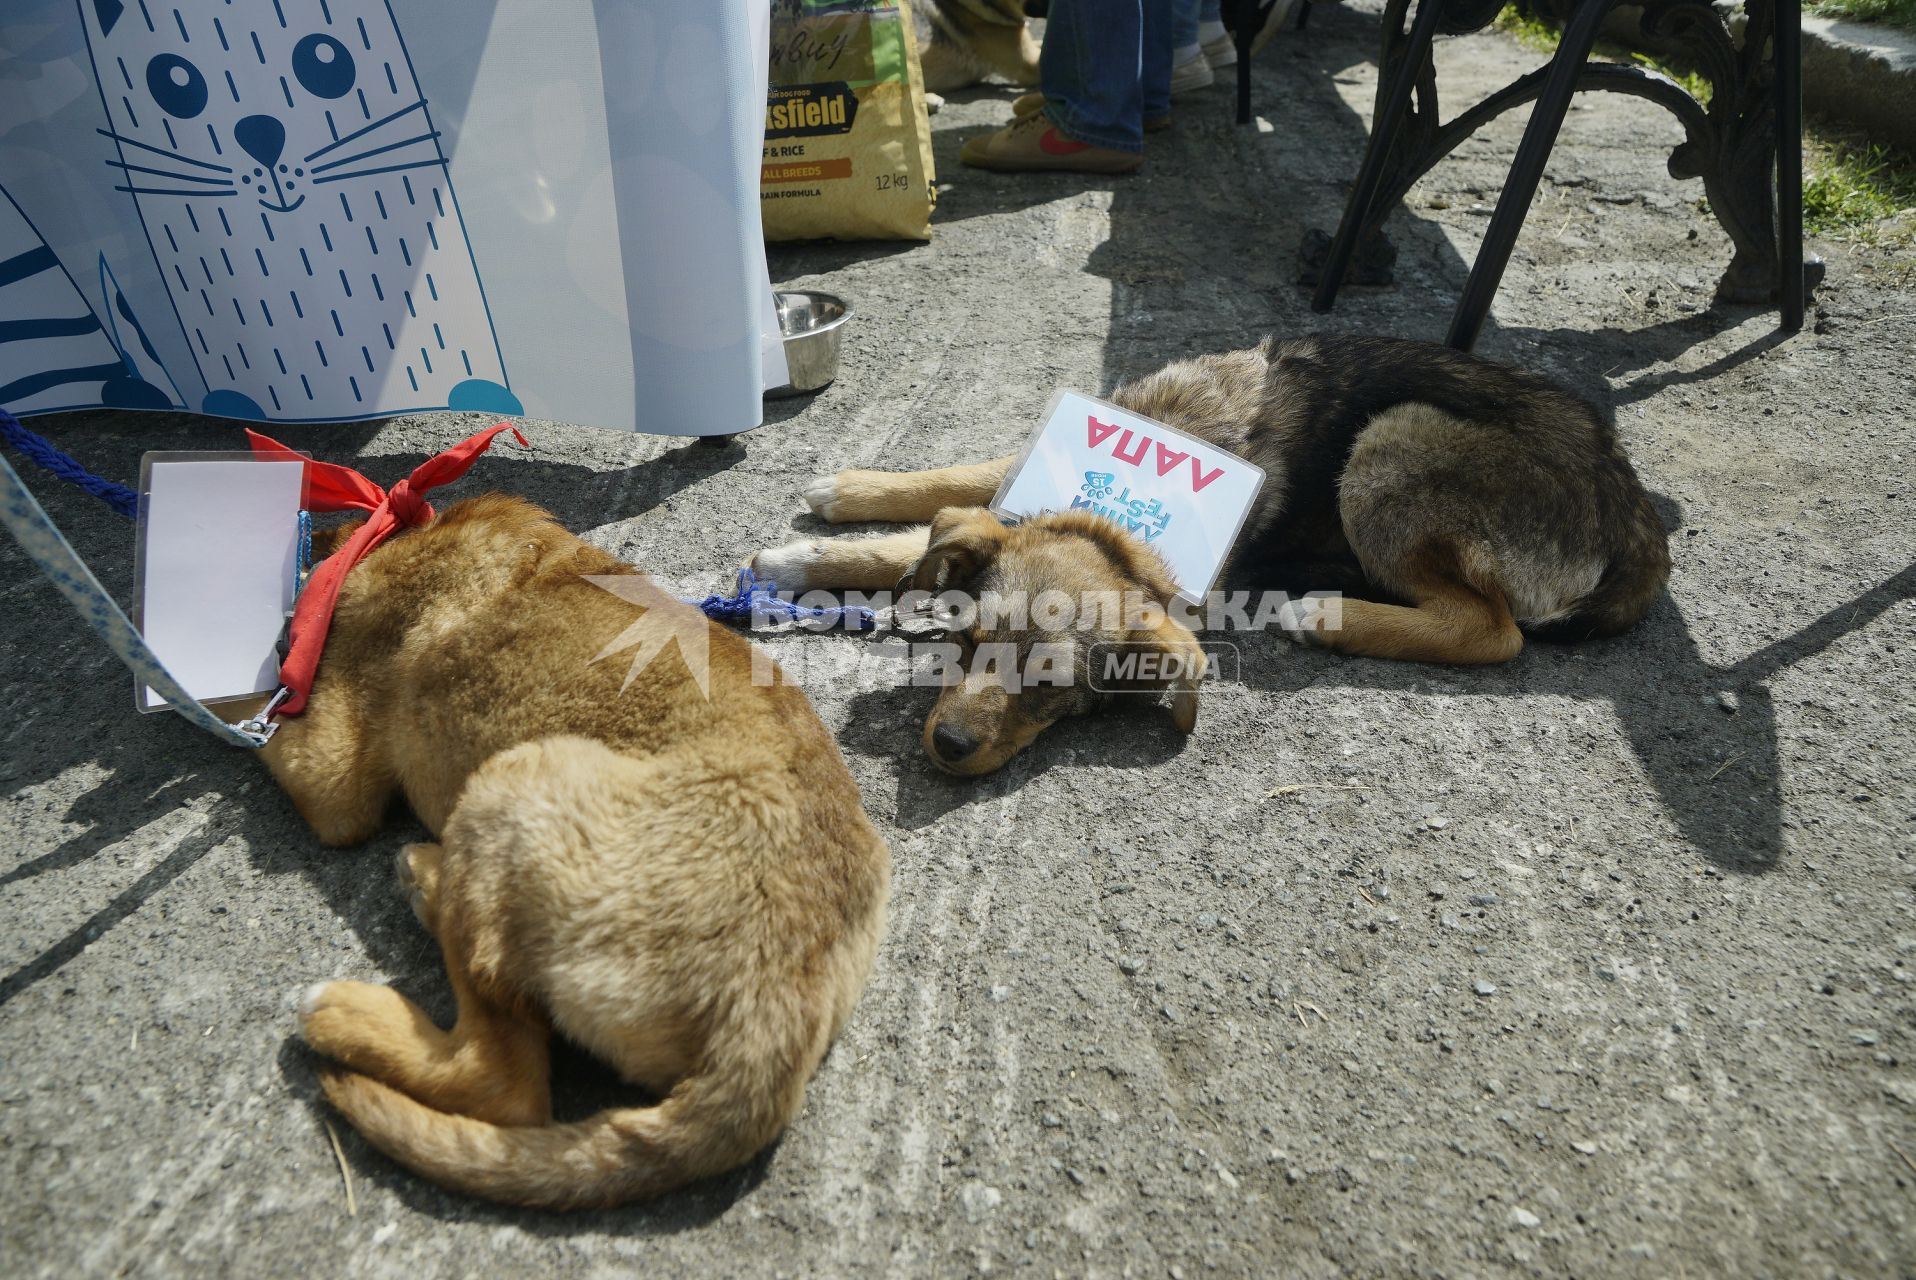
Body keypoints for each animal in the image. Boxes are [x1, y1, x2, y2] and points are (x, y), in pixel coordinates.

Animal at [239, 490, 889, 1211]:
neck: (395, 535)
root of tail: (771, 1023)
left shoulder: (333, 779)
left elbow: (254, 714)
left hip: (512, 781)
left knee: (501, 1083)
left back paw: (352, 993)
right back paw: (429, 880)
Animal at [754, 329, 1670, 774]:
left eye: (1054, 688)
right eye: (968, 644)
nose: (945, 749)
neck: (1114, 511)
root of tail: (1634, 511)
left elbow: (919, 535)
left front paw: (806, 560)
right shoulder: (1024, 469)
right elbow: (959, 484)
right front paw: (842, 502)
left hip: (1392, 441)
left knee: (1494, 631)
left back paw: (1326, 613)